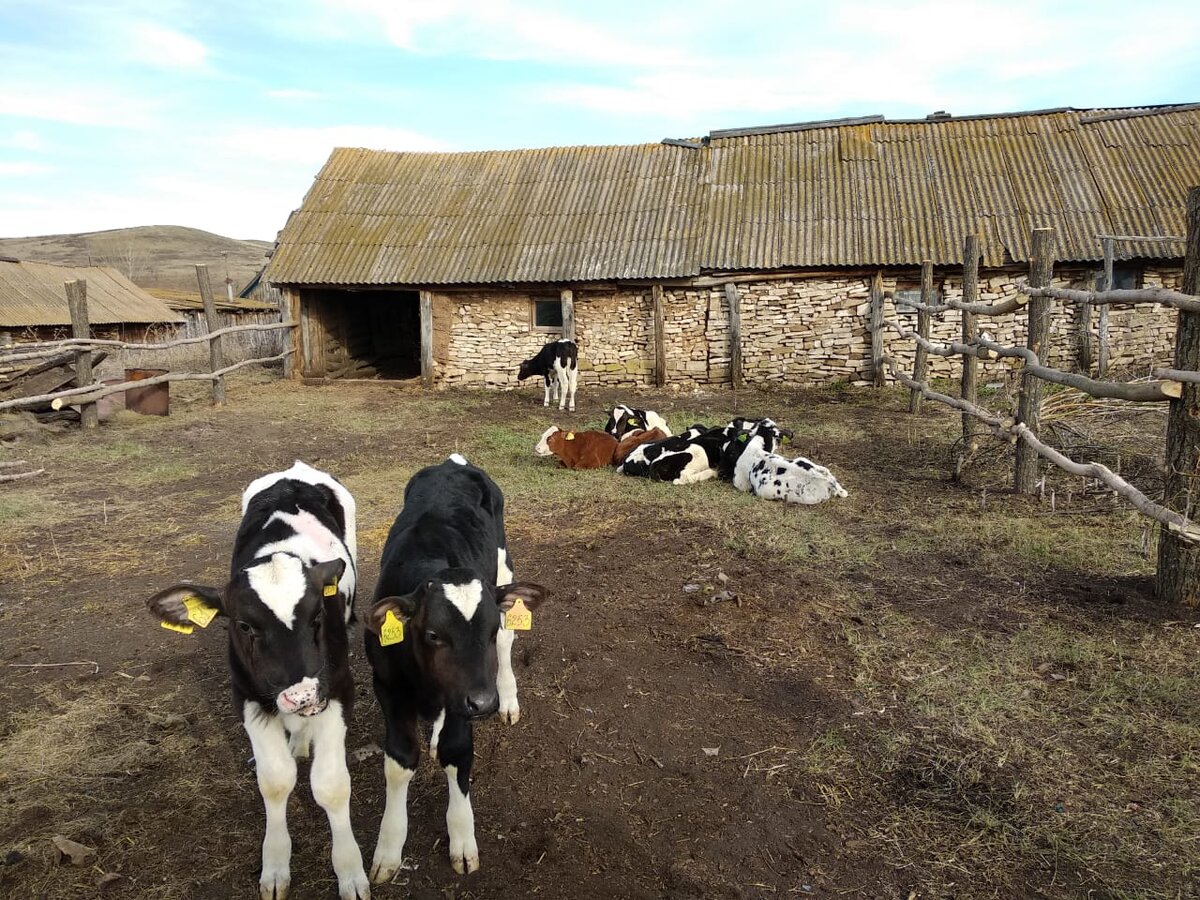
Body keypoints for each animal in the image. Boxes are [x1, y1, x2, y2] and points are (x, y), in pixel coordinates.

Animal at [362, 453, 547, 883]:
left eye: (489, 627)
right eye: (433, 634)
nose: (484, 702)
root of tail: (453, 463)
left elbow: (457, 751)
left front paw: (462, 839)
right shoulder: (388, 687)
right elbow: (399, 760)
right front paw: (388, 847)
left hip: (504, 566)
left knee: (509, 646)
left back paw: (508, 699)